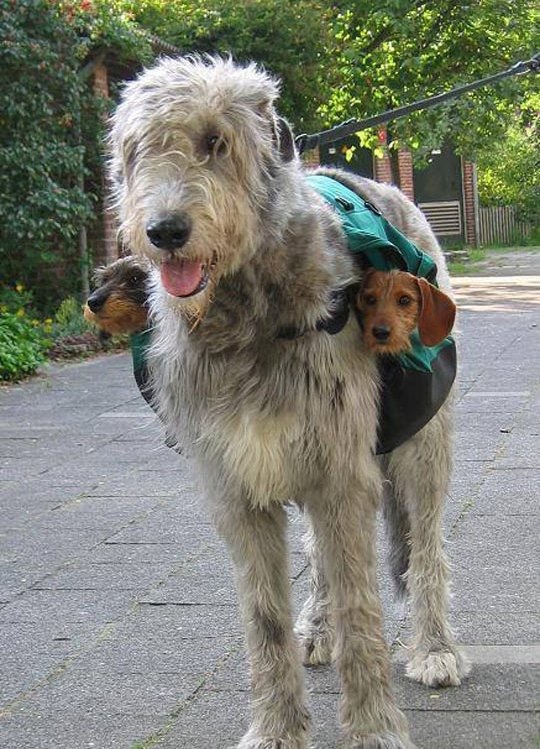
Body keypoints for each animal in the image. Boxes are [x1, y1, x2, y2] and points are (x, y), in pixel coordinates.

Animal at [109, 57, 468, 748]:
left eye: (216, 141)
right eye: (137, 151)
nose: (164, 231)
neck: (244, 319)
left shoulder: (340, 469)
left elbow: (362, 607)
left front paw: (374, 729)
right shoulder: (237, 485)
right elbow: (264, 616)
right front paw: (276, 728)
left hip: (420, 442)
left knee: (427, 547)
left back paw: (434, 647)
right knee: (321, 560)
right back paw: (318, 627)